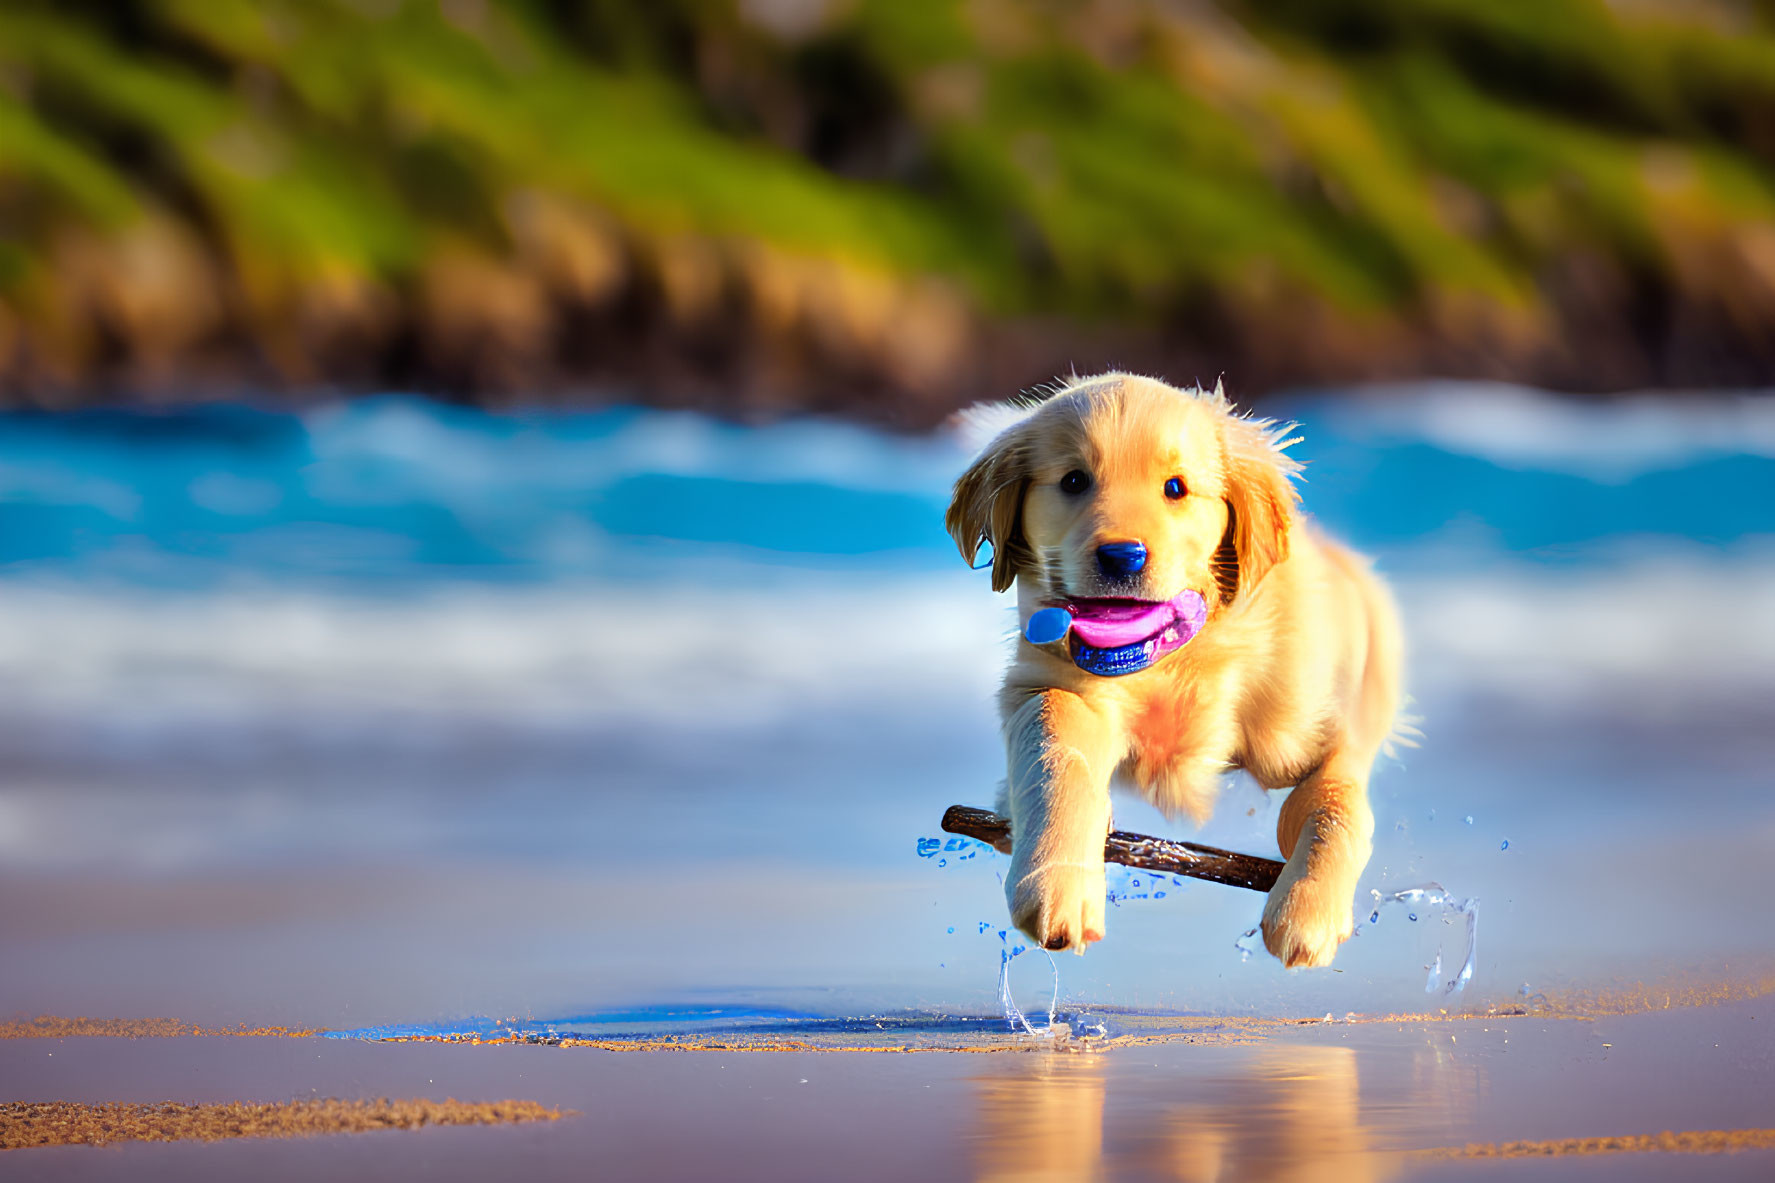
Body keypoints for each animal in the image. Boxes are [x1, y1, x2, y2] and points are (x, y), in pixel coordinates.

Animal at [944, 371, 1398, 966]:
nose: (1122, 557)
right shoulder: (1044, 681)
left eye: (1176, 488)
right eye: (1073, 480)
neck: (1173, 658)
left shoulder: (1311, 736)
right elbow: (1055, 743)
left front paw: (1306, 911)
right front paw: (1058, 884)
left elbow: (1338, 804)